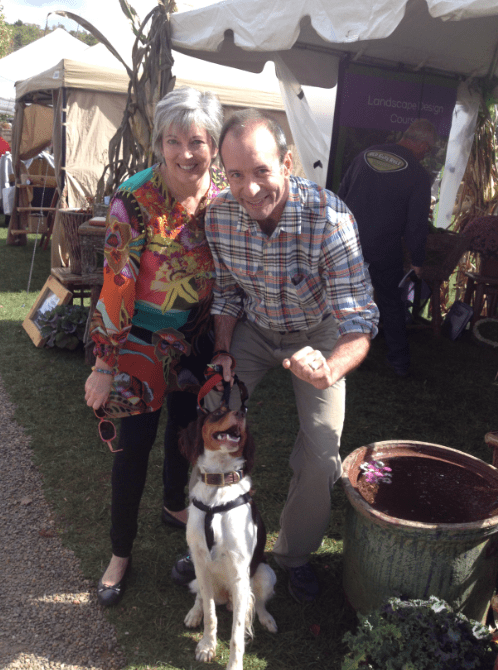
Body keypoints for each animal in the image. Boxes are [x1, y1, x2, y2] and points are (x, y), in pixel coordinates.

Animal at [181, 404, 278, 670]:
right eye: (218, 412)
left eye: (244, 410)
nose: (241, 413)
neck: (218, 486)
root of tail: (226, 597)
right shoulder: (201, 563)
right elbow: (210, 614)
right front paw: (207, 646)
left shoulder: (239, 574)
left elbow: (236, 634)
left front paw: (234, 665)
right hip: (199, 575)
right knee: (202, 598)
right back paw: (194, 613)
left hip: (266, 573)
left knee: (258, 602)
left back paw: (266, 618)